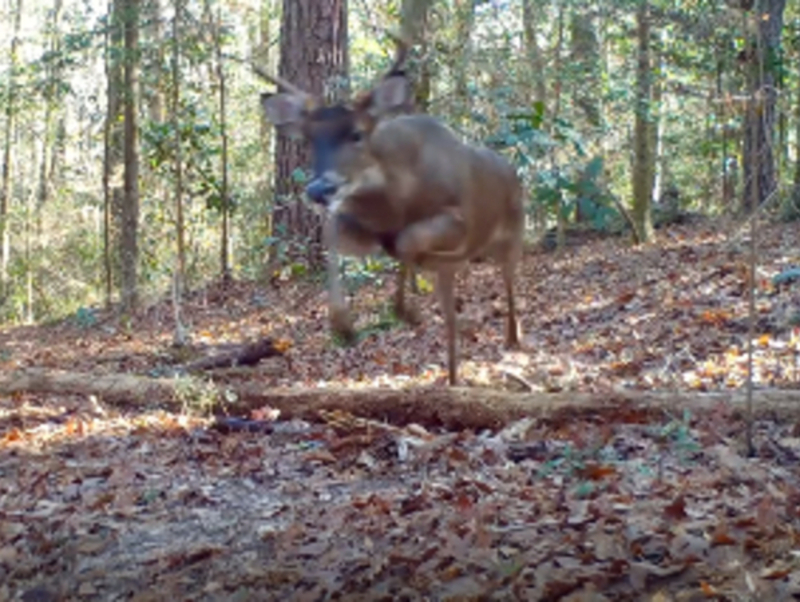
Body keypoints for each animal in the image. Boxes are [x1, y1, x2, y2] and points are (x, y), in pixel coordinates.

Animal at [256, 36, 528, 384]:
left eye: (357, 133)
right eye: (309, 140)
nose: (318, 190)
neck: (397, 196)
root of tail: (515, 173)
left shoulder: (459, 223)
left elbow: (406, 241)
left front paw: (405, 310)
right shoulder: (369, 230)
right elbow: (337, 239)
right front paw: (343, 325)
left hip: (512, 235)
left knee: (509, 282)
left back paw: (512, 338)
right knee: (450, 318)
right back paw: (454, 372)